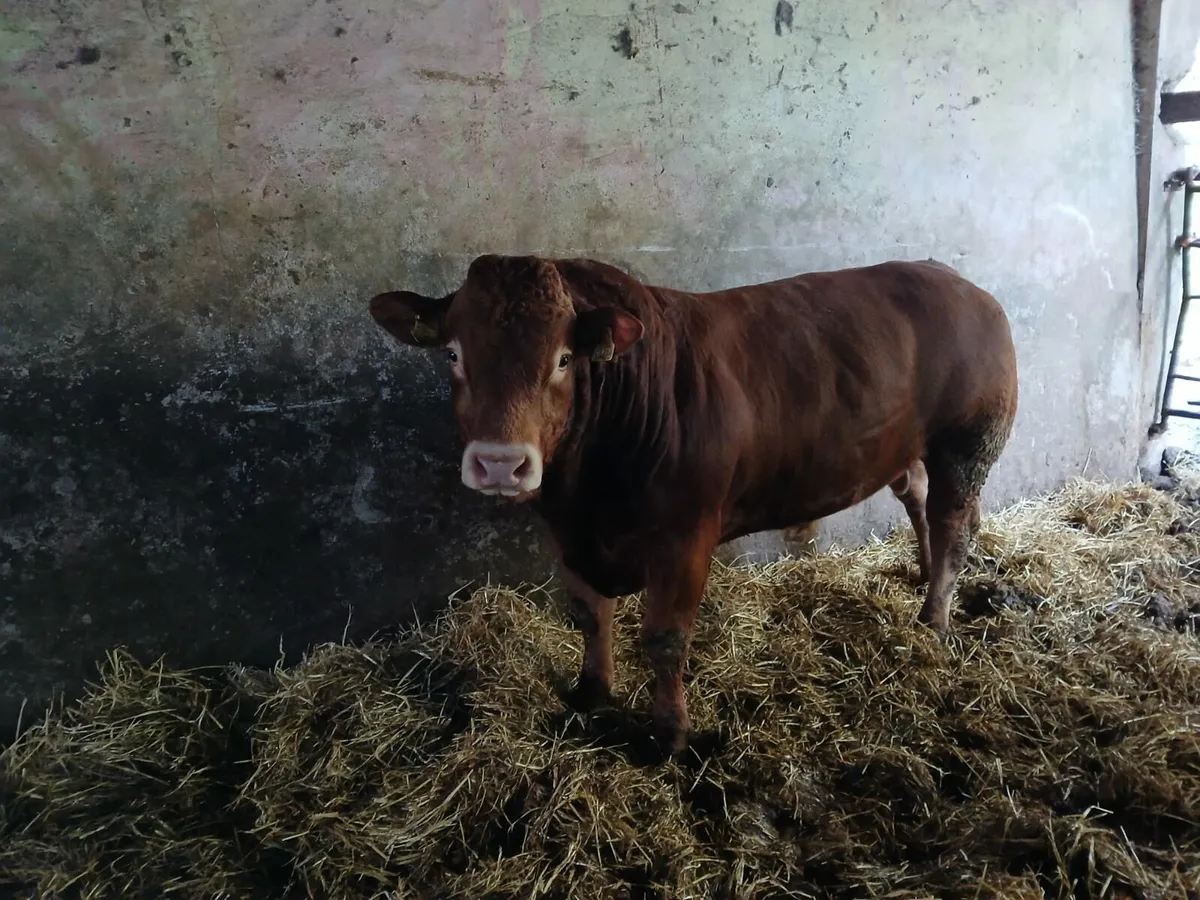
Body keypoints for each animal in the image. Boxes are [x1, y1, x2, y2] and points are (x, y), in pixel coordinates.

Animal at [370, 254, 1018, 755]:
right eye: (452, 353)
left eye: (562, 358)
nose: (501, 463)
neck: (589, 489)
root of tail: (956, 279)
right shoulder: (570, 535)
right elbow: (589, 615)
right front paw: (591, 692)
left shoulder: (684, 538)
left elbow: (665, 638)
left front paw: (669, 734)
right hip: (907, 447)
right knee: (918, 498)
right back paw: (922, 573)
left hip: (969, 441)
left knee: (954, 522)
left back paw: (934, 618)